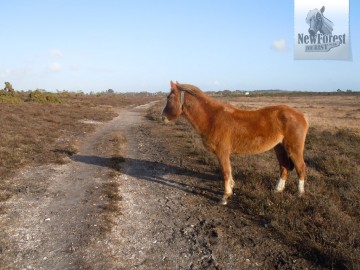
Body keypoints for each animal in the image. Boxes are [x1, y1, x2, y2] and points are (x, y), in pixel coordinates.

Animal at [162, 80, 308, 205]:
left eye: (169, 98)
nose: (162, 117)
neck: (212, 118)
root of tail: (301, 115)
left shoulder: (222, 153)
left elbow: (225, 172)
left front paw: (225, 196)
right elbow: (229, 172)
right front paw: (231, 187)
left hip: (293, 148)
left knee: (301, 167)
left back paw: (300, 193)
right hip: (279, 147)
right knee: (284, 166)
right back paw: (278, 189)